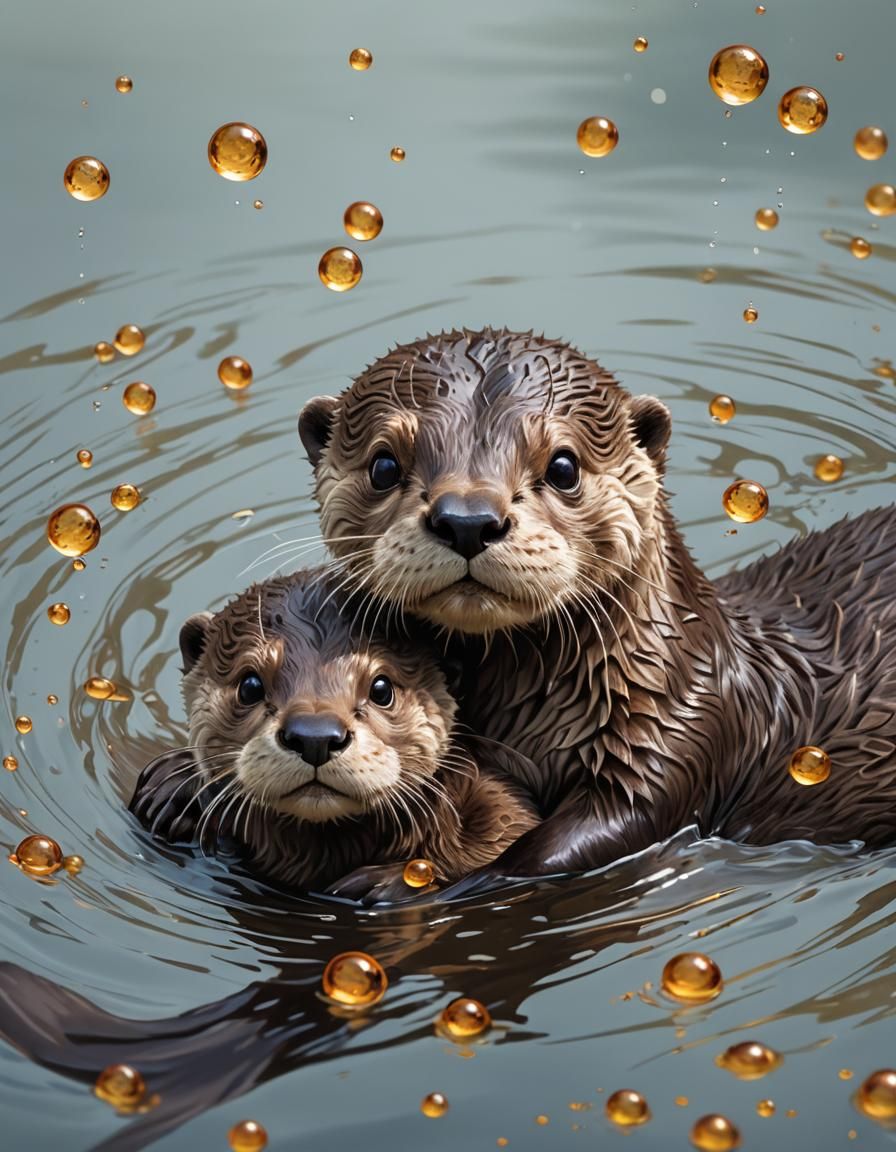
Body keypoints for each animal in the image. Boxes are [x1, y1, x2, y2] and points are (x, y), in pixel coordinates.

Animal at [297, 327, 896, 892]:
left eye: (564, 467)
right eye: (383, 466)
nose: (468, 519)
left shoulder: (675, 736)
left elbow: (561, 846)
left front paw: (400, 879)